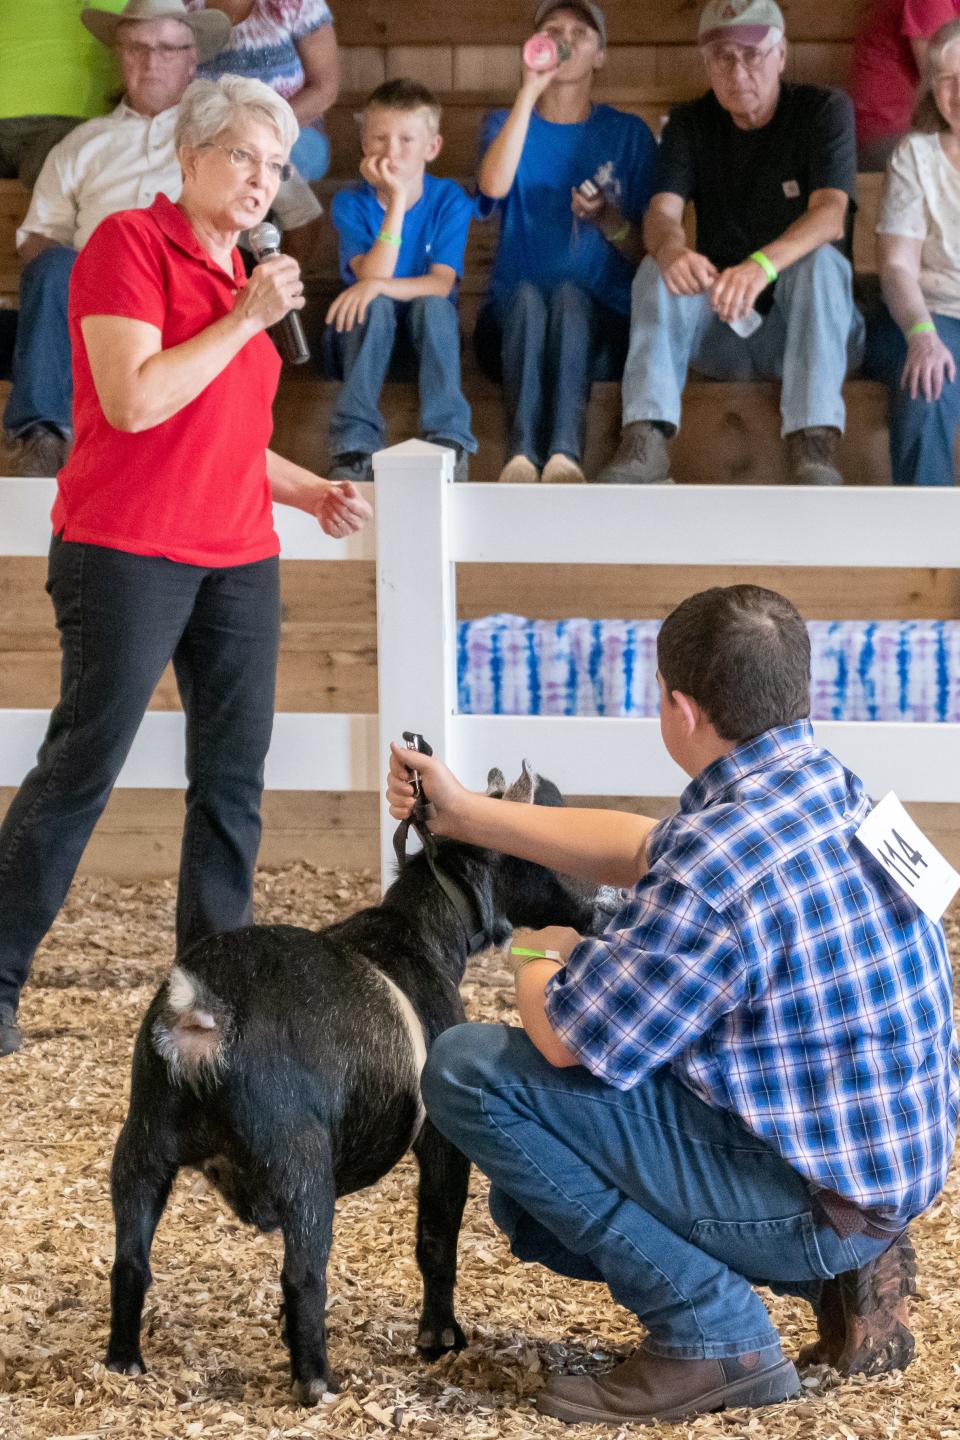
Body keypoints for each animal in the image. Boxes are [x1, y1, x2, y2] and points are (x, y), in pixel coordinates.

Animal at [101, 766, 618, 1405]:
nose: (616, 898)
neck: (417, 931)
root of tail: (201, 1015)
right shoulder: (442, 1144)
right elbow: (436, 1237)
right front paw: (439, 1338)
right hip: (300, 1165)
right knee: (303, 1274)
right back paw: (318, 1381)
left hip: (142, 1146)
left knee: (130, 1261)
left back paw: (125, 1363)